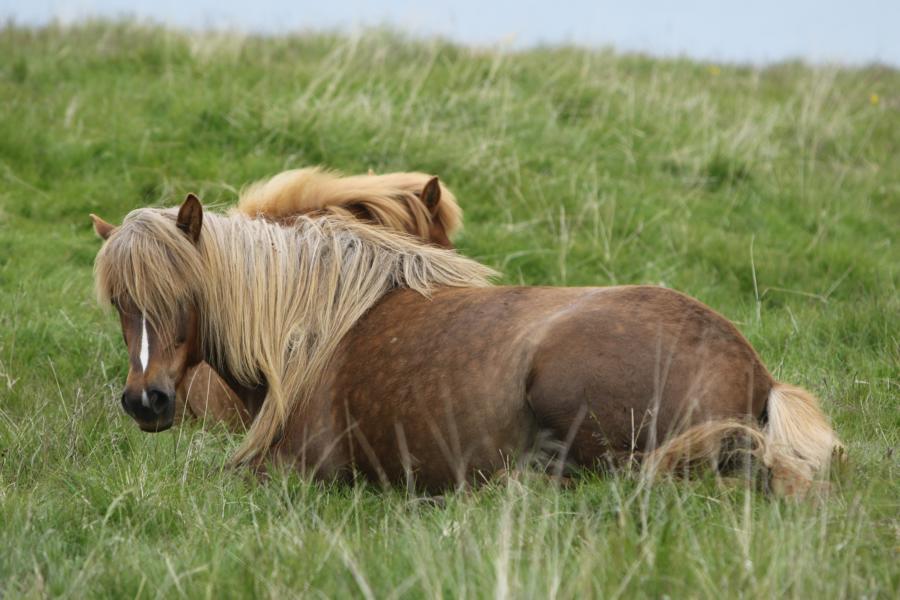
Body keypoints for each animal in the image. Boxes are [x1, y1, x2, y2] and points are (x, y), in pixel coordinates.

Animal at [91, 196, 844, 496]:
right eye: (121, 303)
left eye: (183, 294)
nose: (145, 400)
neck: (313, 335)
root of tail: (754, 372)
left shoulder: (296, 473)